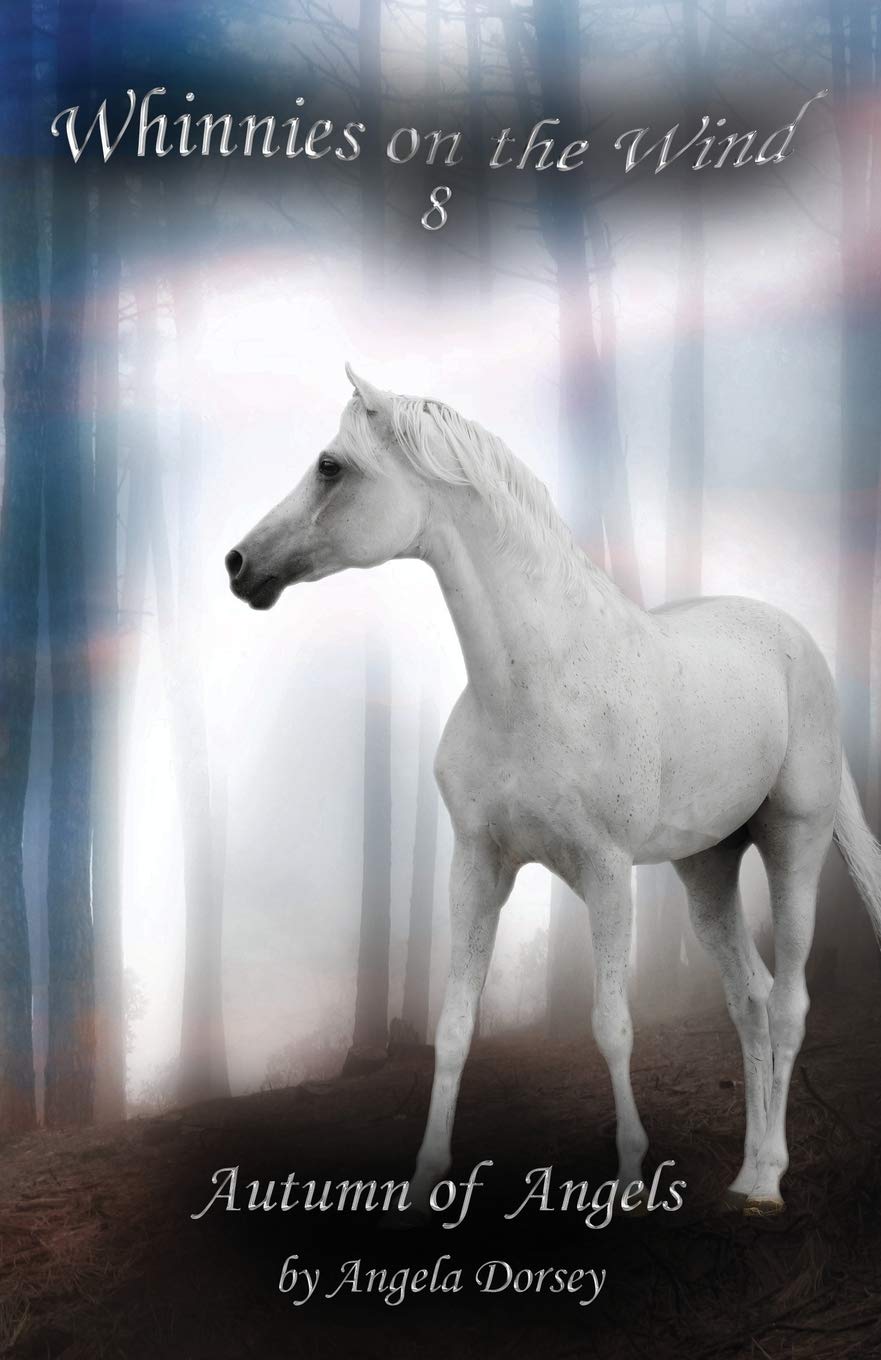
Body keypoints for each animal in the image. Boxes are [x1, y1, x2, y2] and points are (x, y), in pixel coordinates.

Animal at [225, 365, 881, 1218]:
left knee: (790, 1003)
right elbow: (456, 1027)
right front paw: (424, 1184)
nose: (240, 564)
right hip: (705, 867)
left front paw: (628, 1181)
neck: (534, 684)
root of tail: (797, 642)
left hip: (792, 845)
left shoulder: (604, 872)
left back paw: (768, 1180)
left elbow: (610, 1025)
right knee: (751, 999)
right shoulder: (477, 869)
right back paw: (742, 1173)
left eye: (330, 466)